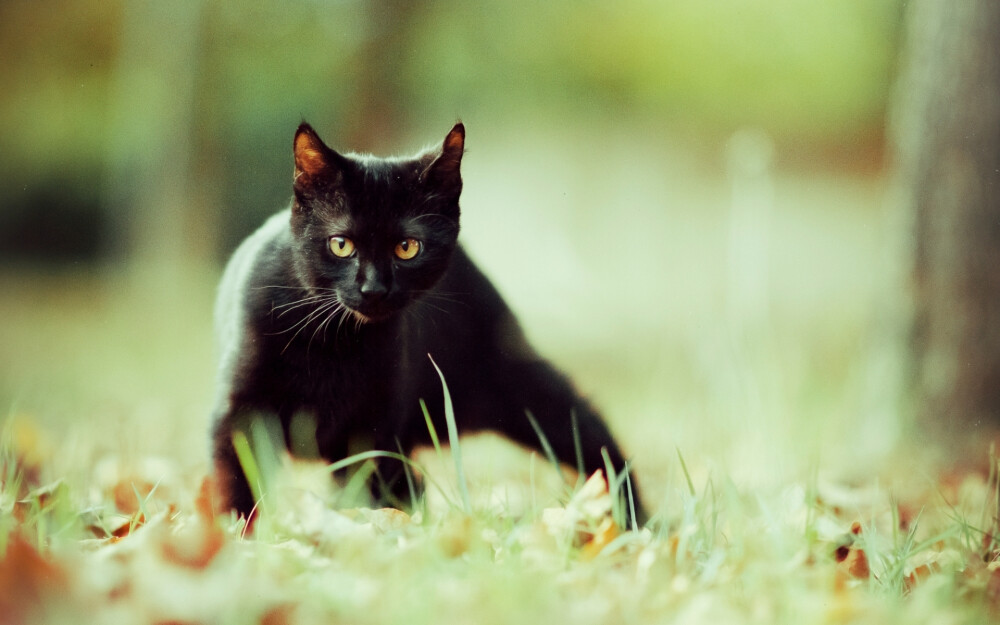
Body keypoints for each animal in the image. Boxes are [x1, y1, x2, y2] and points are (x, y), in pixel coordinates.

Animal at [211, 123, 648, 528]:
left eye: (407, 248)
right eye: (341, 245)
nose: (374, 288)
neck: (333, 343)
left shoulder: (375, 426)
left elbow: (370, 490)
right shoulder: (240, 412)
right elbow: (235, 476)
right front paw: (234, 535)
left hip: (518, 385)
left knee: (588, 431)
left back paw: (631, 516)